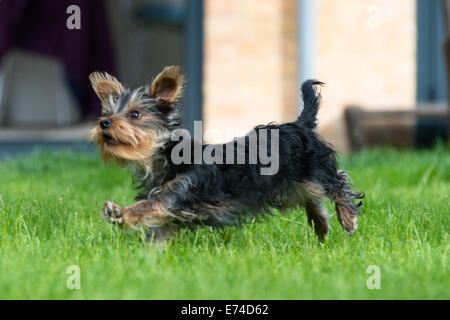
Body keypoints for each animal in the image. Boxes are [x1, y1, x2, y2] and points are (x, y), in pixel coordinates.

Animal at [89, 66, 366, 244]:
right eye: (108, 113)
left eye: (135, 114)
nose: (104, 123)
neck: (166, 158)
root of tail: (299, 124)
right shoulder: (175, 208)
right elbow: (159, 228)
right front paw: (151, 252)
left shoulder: (179, 192)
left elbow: (149, 206)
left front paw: (119, 213)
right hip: (288, 187)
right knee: (311, 198)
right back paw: (321, 225)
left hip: (316, 168)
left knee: (338, 182)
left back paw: (347, 218)